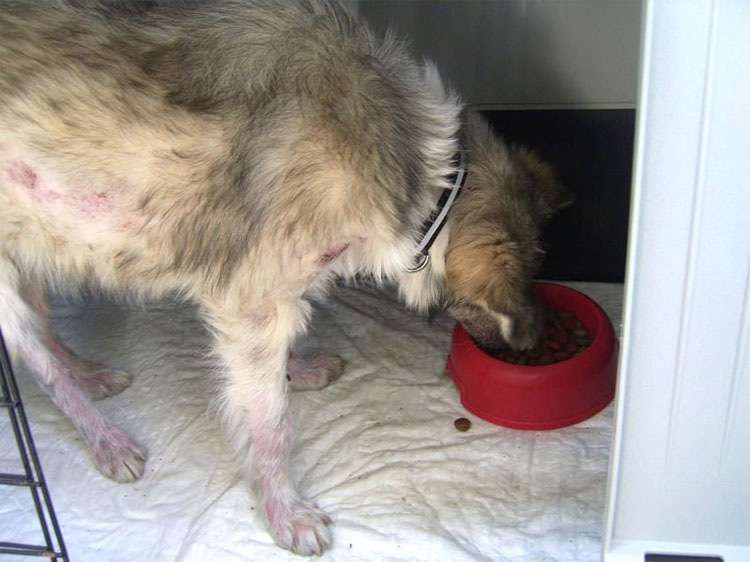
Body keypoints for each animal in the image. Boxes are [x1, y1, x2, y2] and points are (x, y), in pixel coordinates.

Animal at [0, 0, 568, 552]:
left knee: (48, 333)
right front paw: (284, 511)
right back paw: (104, 437)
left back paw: (87, 374)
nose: (531, 340)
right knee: (40, 367)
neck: (434, 174)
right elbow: (270, 421)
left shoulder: (274, 290)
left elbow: (279, 362)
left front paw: (298, 369)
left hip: (36, 246)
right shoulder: (252, 302)